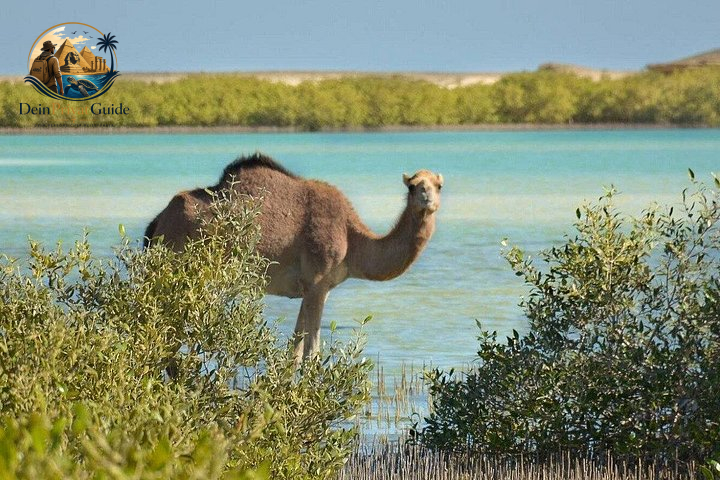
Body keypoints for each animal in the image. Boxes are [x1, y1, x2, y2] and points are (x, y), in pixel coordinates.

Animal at [144, 153, 443, 363]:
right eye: (413, 186)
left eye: (438, 185)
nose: (426, 197)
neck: (352, 238)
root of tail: (158, 222)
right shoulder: (317, 282)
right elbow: (312, 353)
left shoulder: (313, 288)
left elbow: (295, 352)